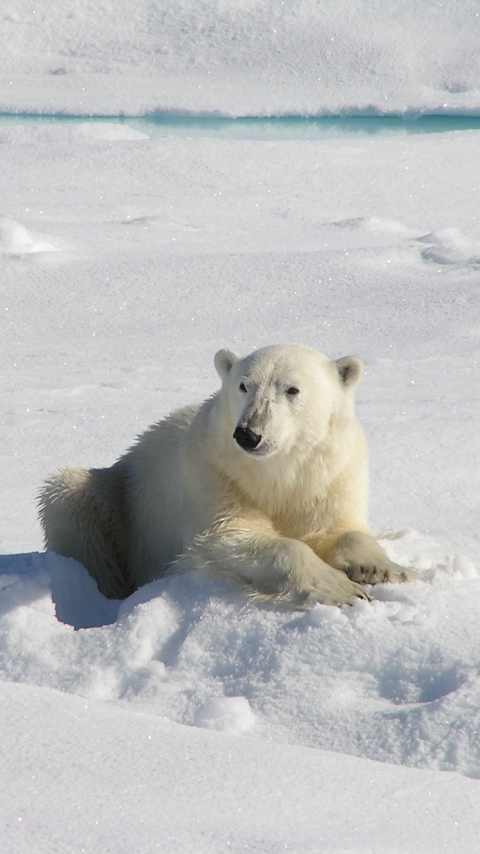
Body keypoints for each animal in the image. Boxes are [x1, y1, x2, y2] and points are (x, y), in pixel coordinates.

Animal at [39, 346, 410, 608]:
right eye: (244, 385)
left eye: (292, 390)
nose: (248, 434)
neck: (277, 470)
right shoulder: (213, 471)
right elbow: (230, 534)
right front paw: (340, 587)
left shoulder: (330, 473)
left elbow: (339, 528)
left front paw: (380, 567)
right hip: (117, 499)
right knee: (71, 501)